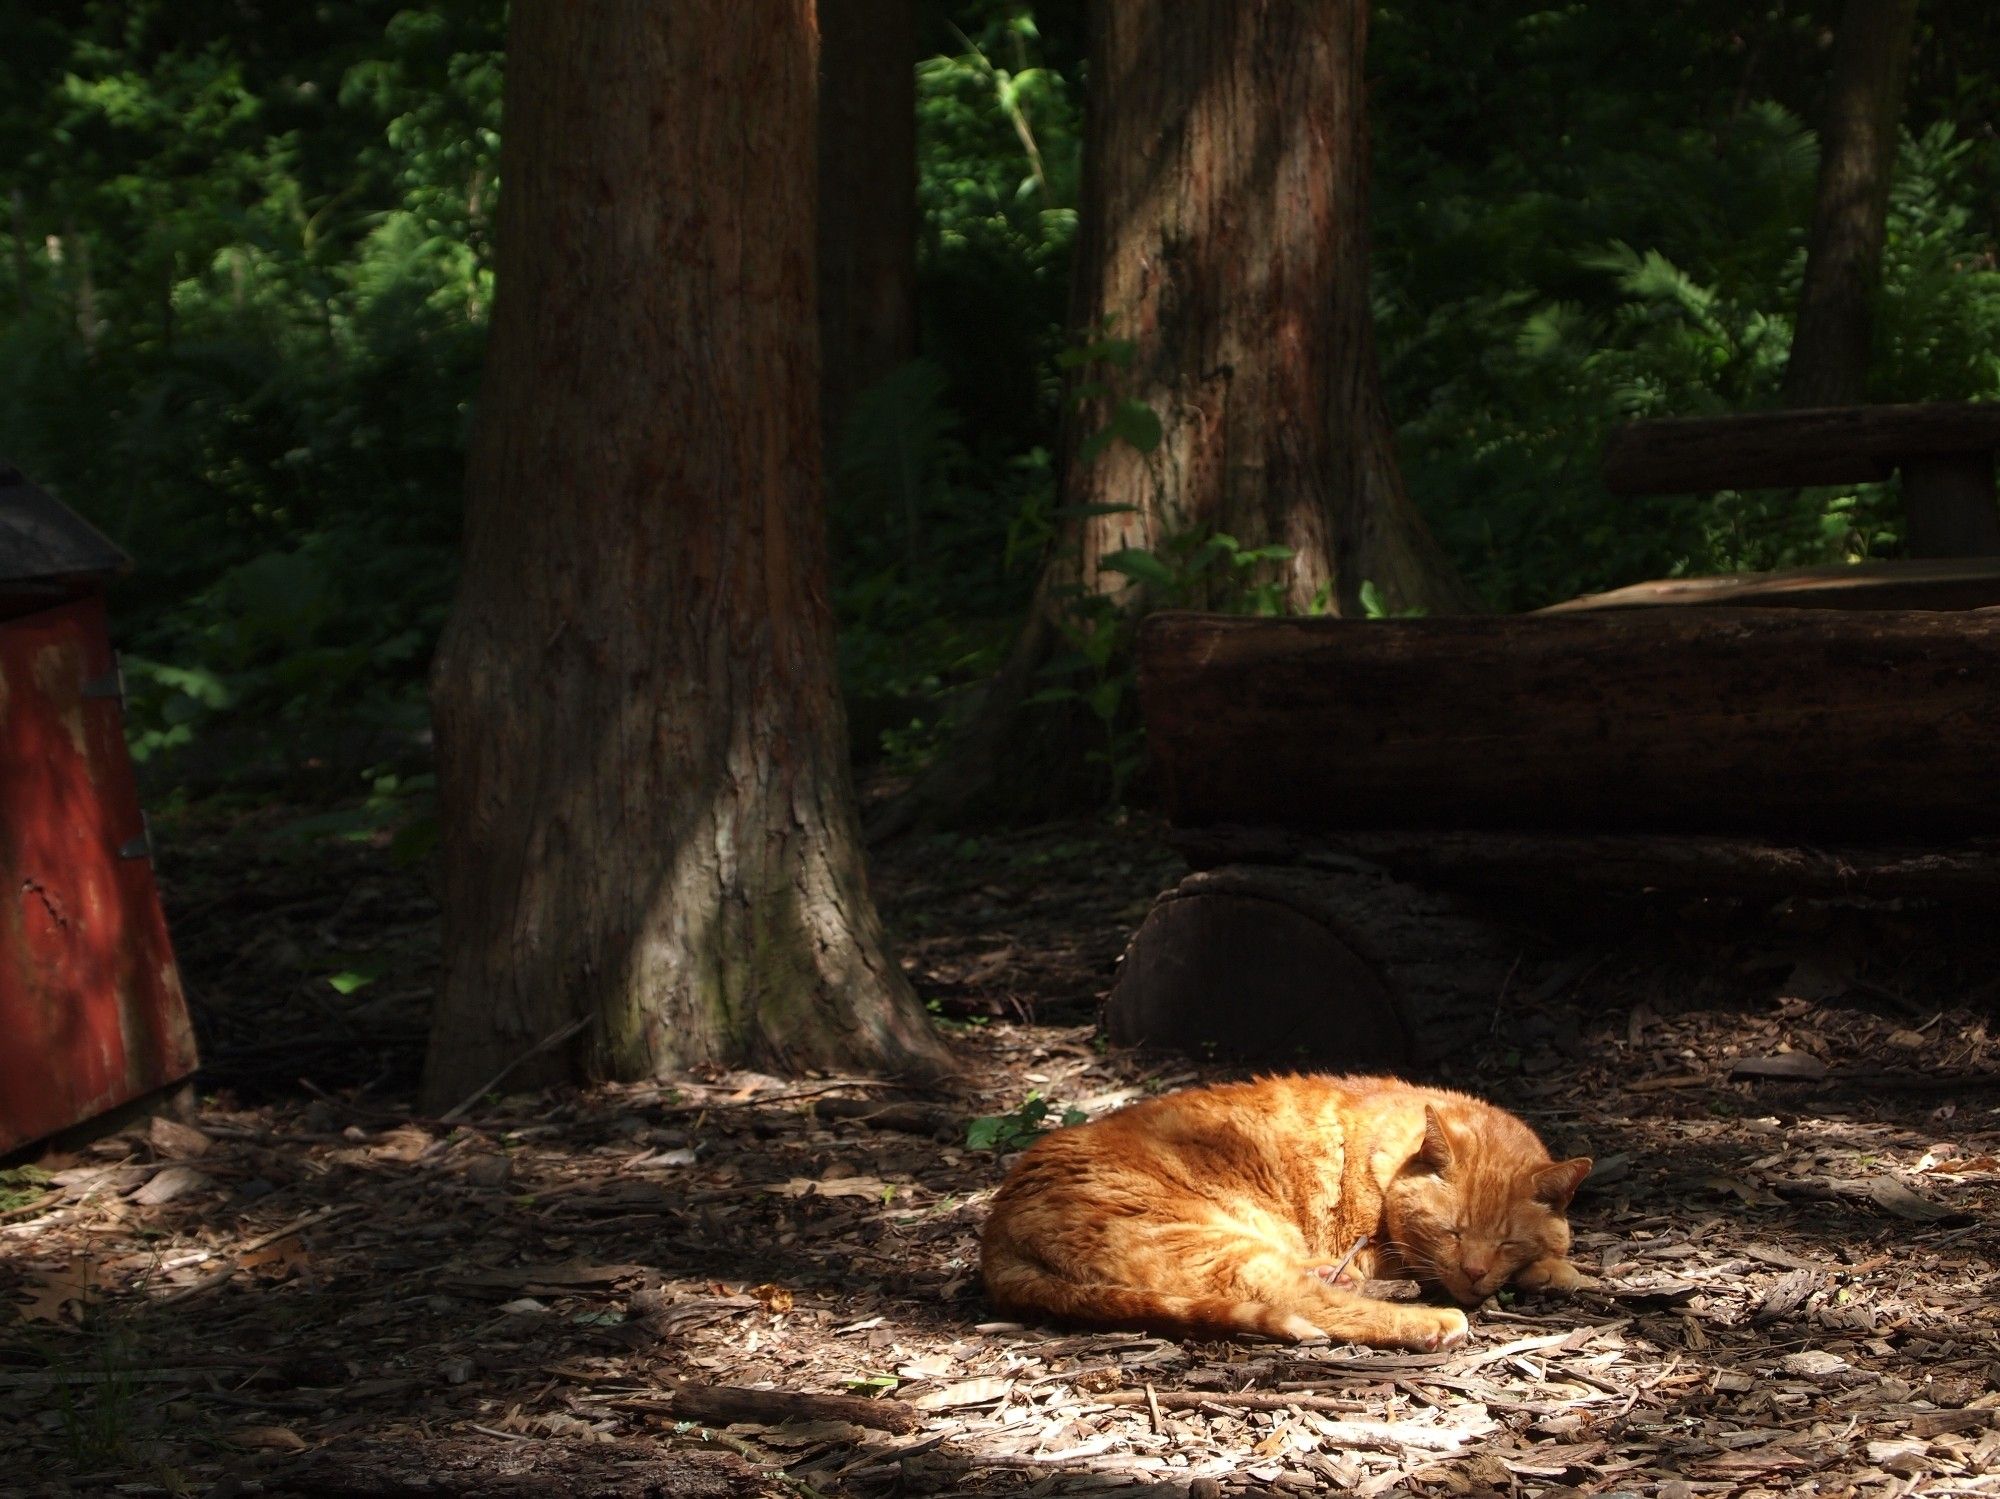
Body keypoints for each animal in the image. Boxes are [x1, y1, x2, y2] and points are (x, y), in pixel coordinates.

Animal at [976, 1071, 1584, 1359]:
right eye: (1450, 1231)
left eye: (1506, 1243)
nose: (1477, 1272)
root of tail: (994, 1234)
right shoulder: (1377, 1253)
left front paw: (1554, 1268)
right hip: (1217, 1246)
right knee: (1311, 1303)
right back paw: (1429, 1322)